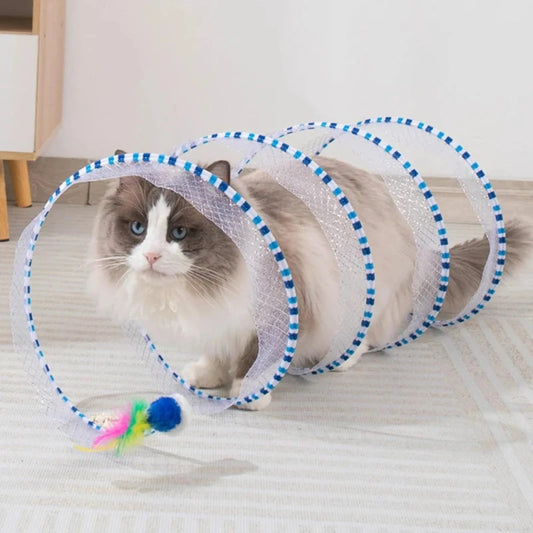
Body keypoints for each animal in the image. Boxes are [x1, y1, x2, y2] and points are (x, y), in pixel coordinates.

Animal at [86, 156, 528, 410]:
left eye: (178, 233)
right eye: (138, 229)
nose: (151, 256)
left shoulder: (276, 310)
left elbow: (255, 358)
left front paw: (248, 394)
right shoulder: (220, 314)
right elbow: (218, 350)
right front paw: (208, 375)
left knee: (367, 335)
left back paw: (342, 359)